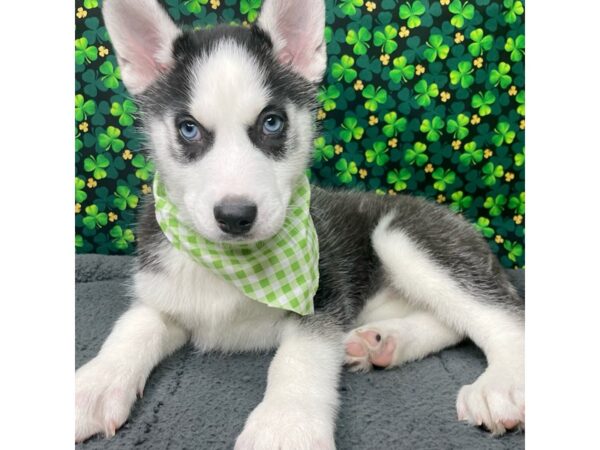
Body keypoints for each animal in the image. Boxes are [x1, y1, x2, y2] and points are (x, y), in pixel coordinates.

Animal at [76, 0, 524, 446]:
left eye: (272, 122)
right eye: (188, 129)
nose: (236, 216)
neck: (234, 266)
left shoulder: (324, 297)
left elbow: (298, 358)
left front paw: (285, 423)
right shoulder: (162, 296)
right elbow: (132, 327)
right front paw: (94, 386)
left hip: (402, 236)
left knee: (501, 314)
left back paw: (503, 382)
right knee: (451, 323)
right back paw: (384, 342)